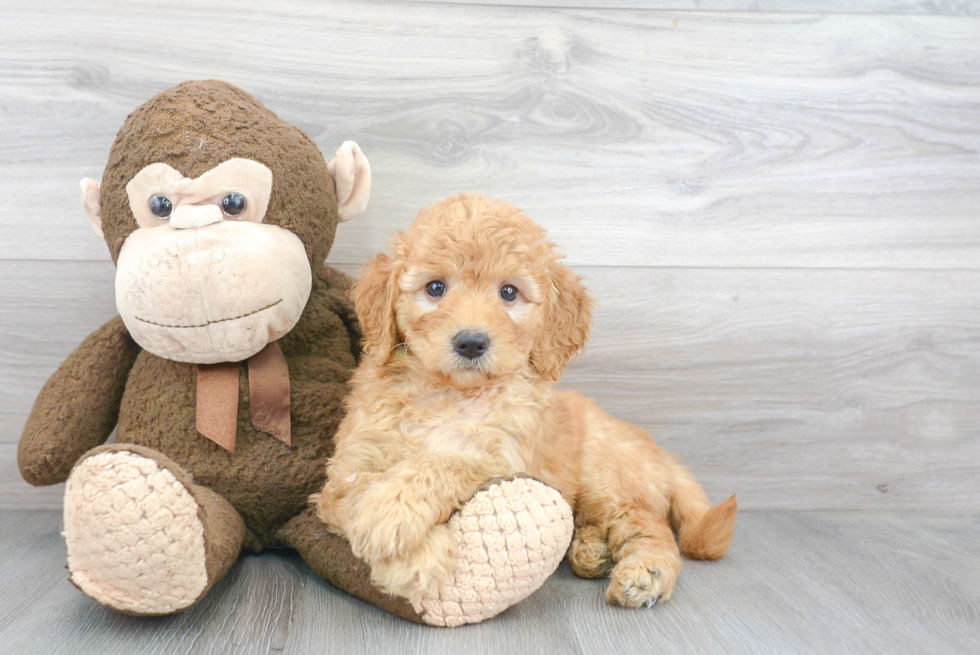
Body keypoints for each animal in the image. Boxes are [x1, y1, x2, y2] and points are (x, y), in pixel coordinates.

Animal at [318, 195, 740, 608]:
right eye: (435, 288)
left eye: (508, 292)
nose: (471, 342)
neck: (450, 392)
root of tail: (661, 454)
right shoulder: (346, 467)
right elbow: (352, 493)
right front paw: (417, 555)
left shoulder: (503, 458)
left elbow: (444, 462)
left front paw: (391, 512)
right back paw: (591, 551)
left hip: (608, 481)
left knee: (651, 527)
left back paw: (646, 574)